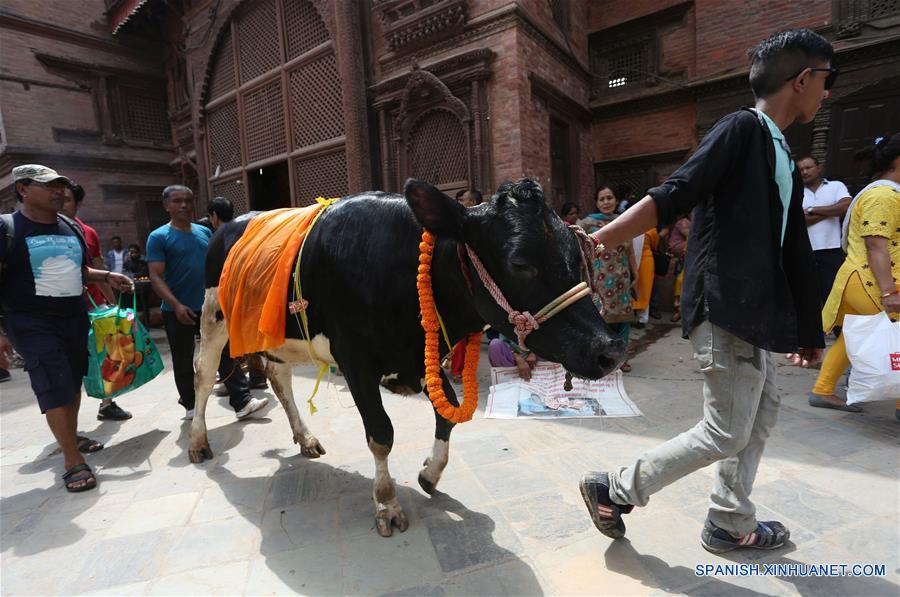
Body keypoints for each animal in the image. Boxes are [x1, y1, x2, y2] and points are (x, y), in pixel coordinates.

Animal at [190, 177, 624, 536]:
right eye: (520, 262)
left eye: (576, 255)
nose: (608, 349)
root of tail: (233, 222)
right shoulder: (355, 360)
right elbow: (381, 433)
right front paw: (386, 504)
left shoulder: (417, 358)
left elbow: (447, 413)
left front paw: (430, 474)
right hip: (213, 316)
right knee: (203, 374)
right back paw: (198, 442)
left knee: (279, 379)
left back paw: (306, 438)